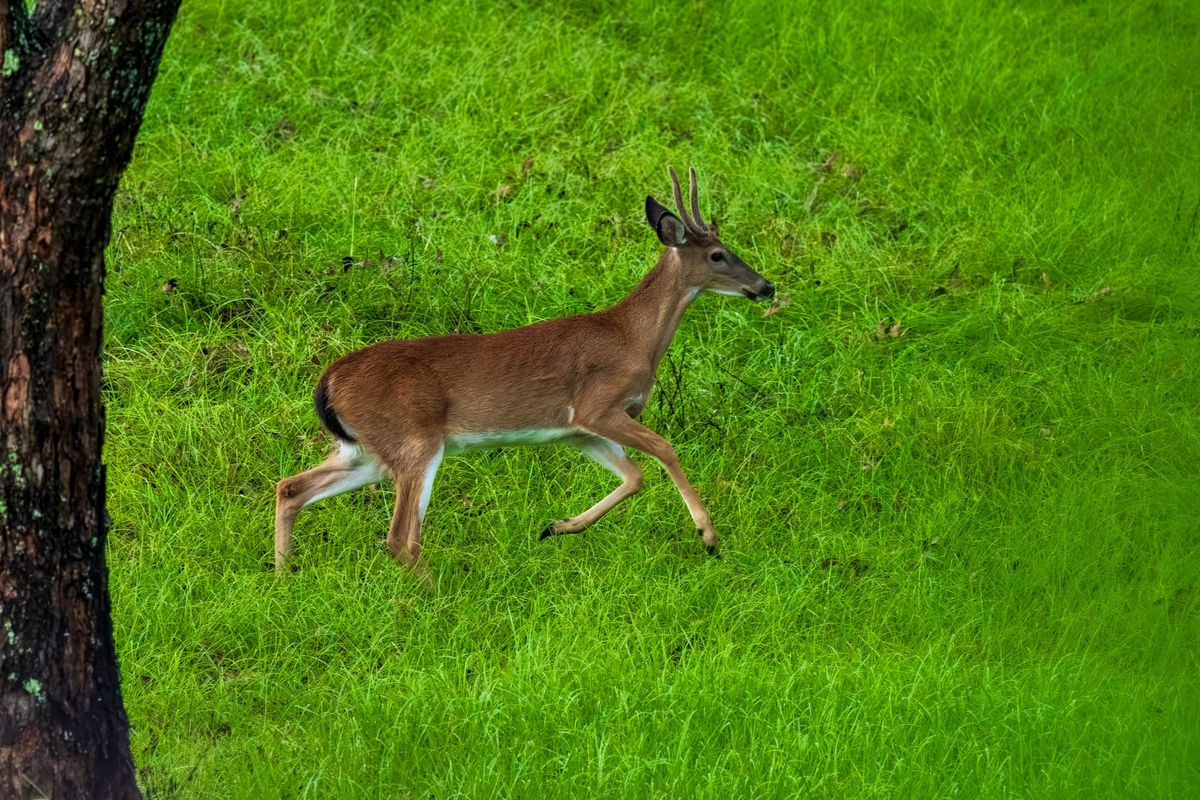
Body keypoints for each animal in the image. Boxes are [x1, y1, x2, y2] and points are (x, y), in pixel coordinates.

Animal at [274, 166, 775, 581]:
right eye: (718, 254)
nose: (766, 286)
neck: (634, 338)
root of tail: (327, 383)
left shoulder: (577, 432)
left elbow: (634, 477)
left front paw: (558, 526)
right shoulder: (597, 406)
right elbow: (665, 451)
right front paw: (708, 535)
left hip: (367, 450)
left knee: (291, 487)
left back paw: (283, 575)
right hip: (414, 441)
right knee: (400, 538)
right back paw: (440, 596)